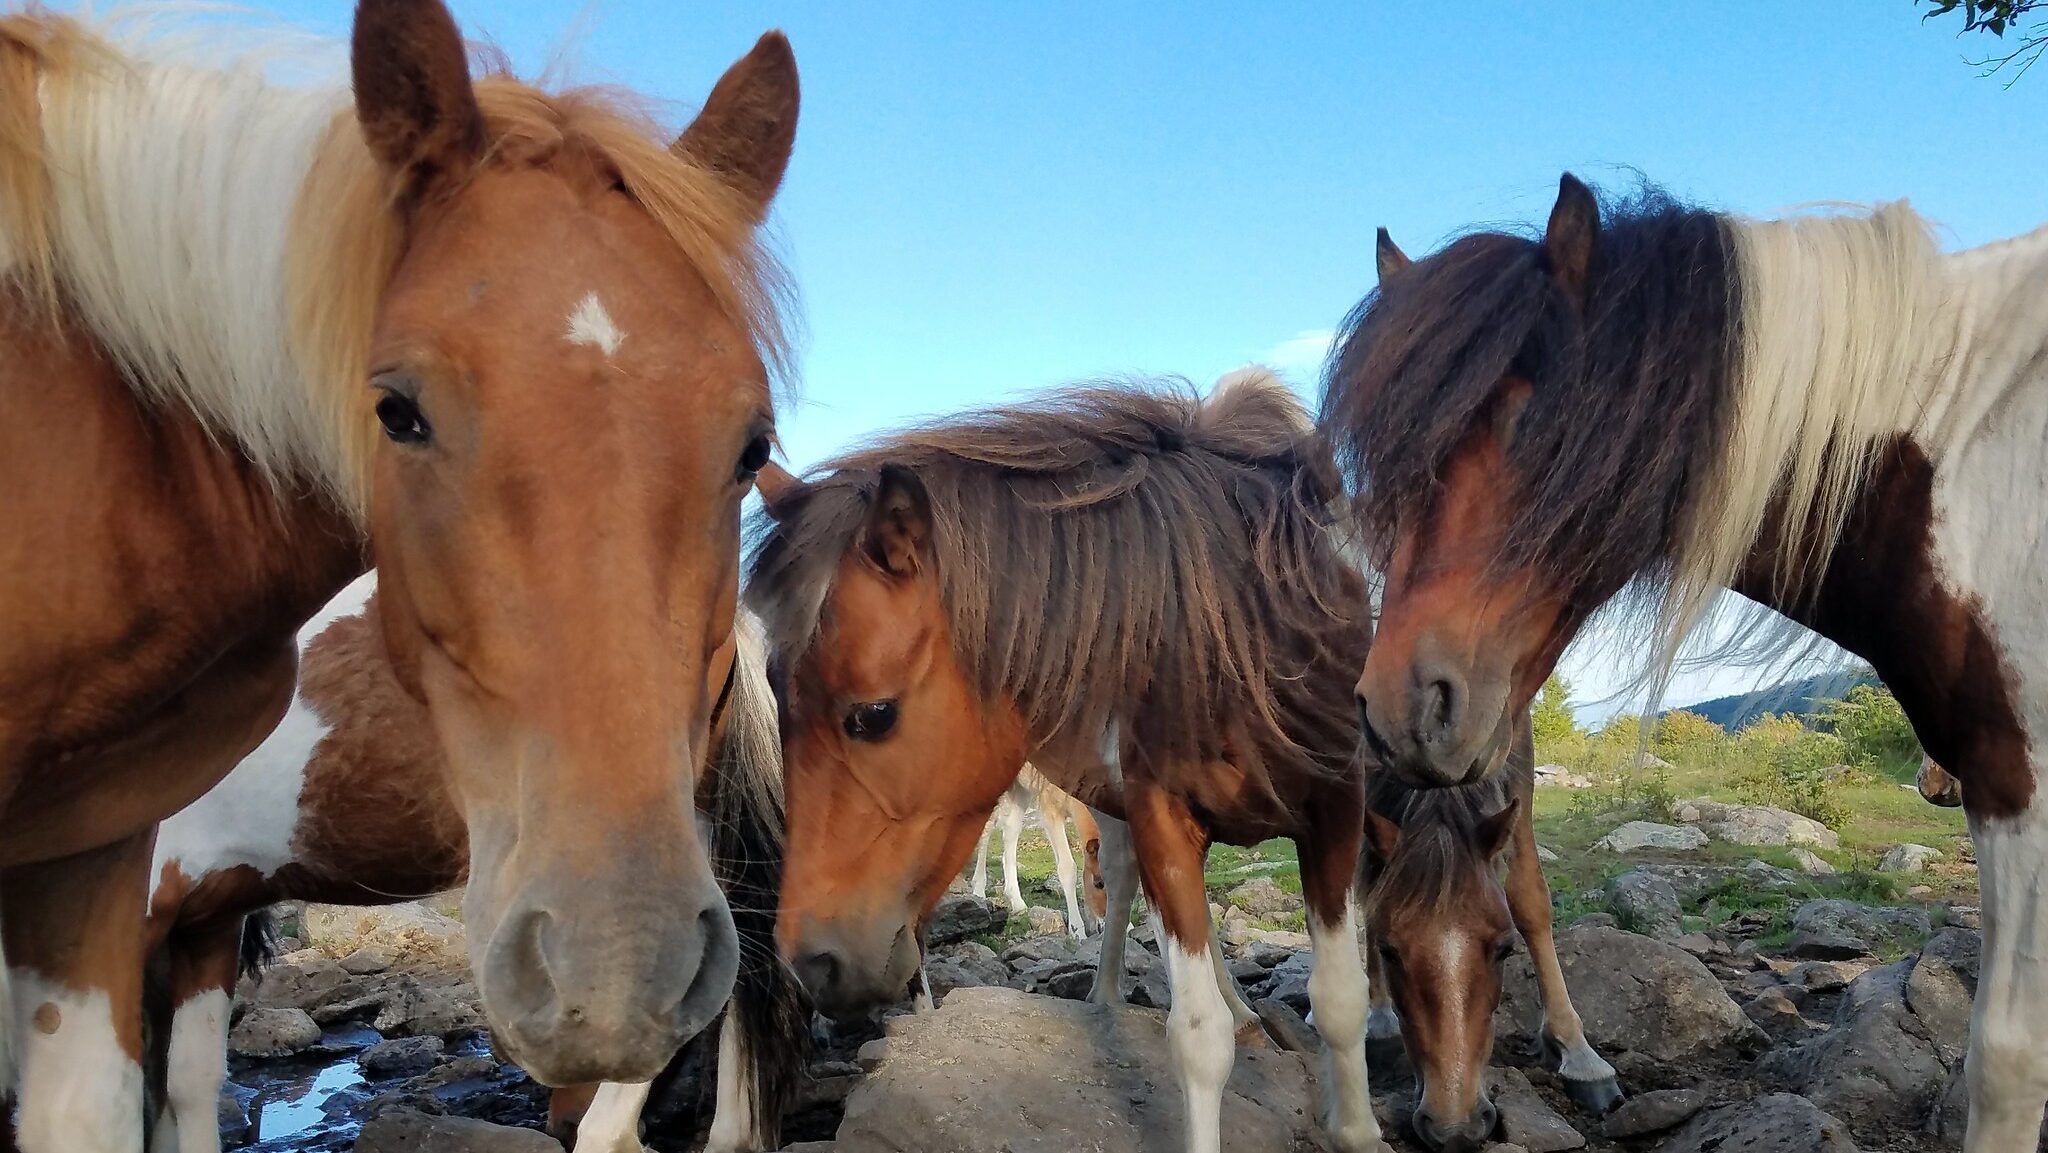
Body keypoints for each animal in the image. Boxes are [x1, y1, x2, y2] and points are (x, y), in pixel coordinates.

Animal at [966, 764, 1097, 938]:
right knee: (986, 826)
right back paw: (979, 891)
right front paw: (1078, 931)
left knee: (1011, 827)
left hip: (1021, 788)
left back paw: (1018, 903)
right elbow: (1067, 868)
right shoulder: (1049, 805)